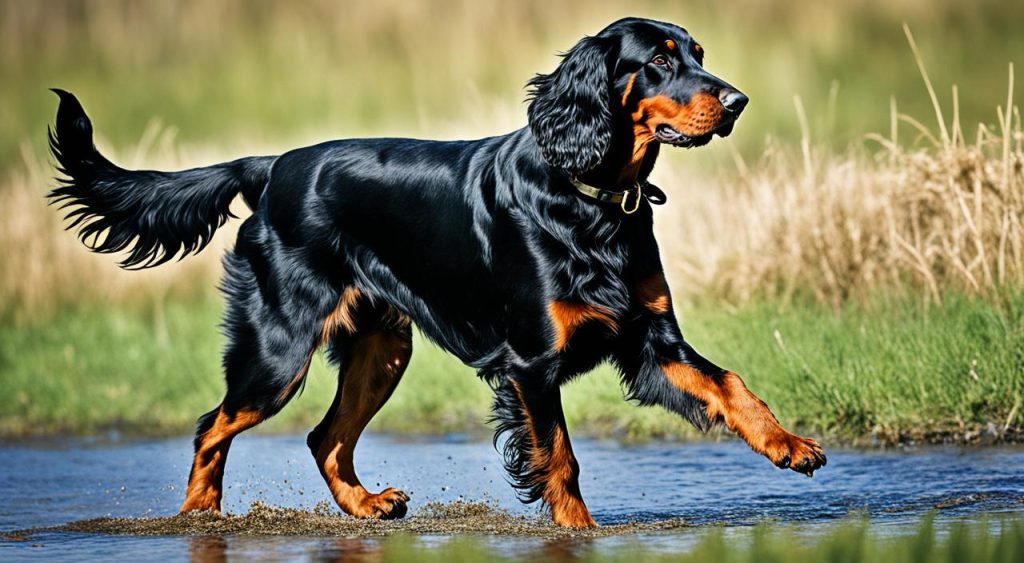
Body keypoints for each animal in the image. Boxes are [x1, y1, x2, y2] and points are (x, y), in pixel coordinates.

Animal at [49, 17, 823, 528]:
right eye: (658, 62)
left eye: (697, 54)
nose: (736, 101)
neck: (588, 197)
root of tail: (273, 169)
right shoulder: (531, 364)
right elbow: (561, 457)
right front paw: (578, 533)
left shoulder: (651, 338)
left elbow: (731, 383)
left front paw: (790, 445)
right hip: (279, 351)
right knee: (214, 423)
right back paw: (200, 516)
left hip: (382, 347)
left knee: (324, 436)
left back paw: (367, 504)